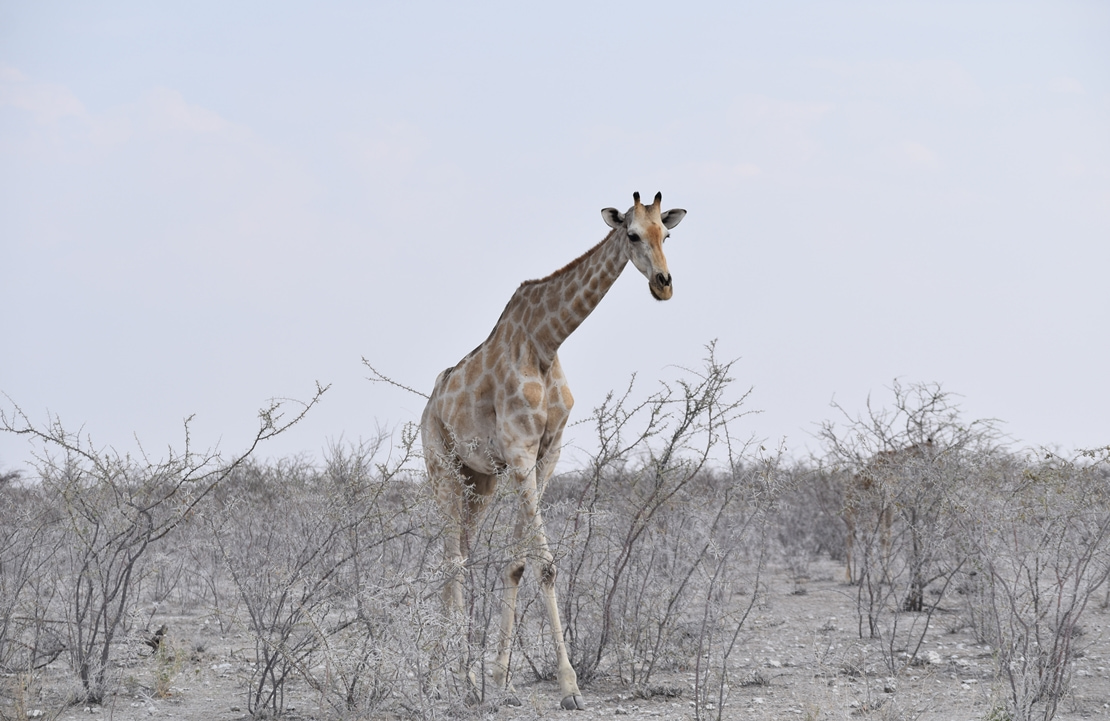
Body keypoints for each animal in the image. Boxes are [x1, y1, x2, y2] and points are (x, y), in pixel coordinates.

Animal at [419, 190, 683, 705]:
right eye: (632, 234)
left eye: (667, 231)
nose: (664, 285)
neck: (545, 340)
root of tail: (429, 404)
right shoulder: (520, 452)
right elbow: (545, 566)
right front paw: (569, 687)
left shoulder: (545, 455)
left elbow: (517, 564)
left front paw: (501, 679)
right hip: (442, 468)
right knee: (452, 559)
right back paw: (454, 679)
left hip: (480, 481)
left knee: (458, 552)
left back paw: (451, 676)